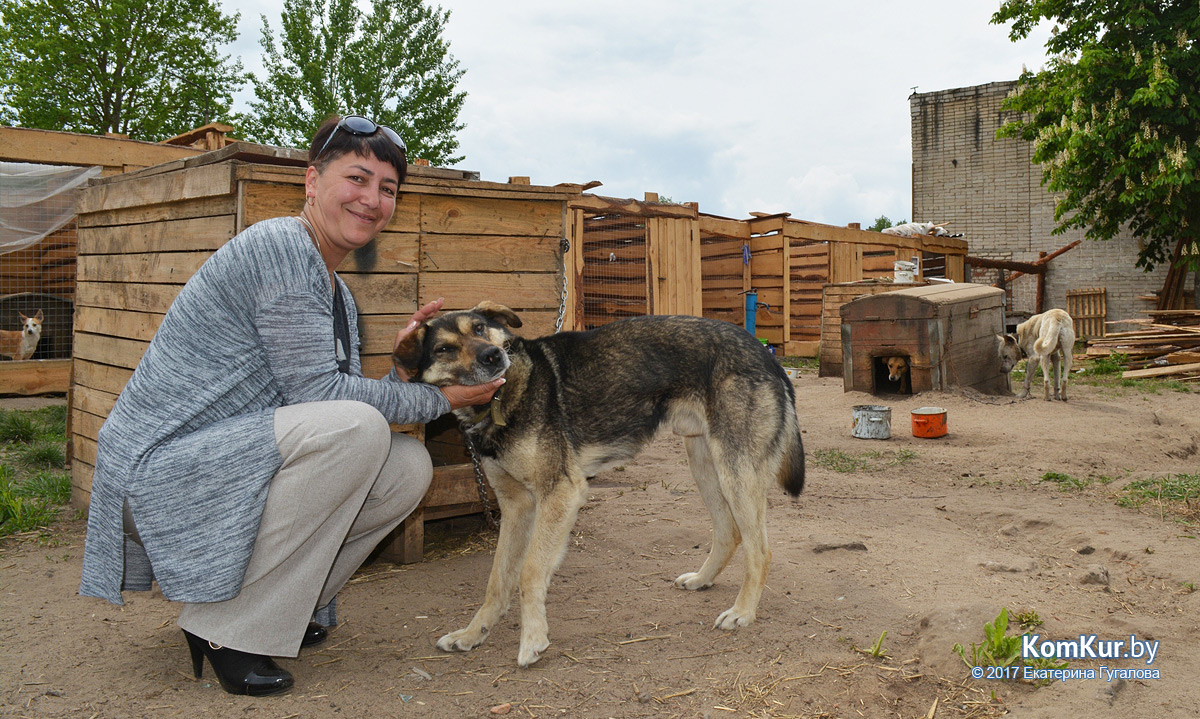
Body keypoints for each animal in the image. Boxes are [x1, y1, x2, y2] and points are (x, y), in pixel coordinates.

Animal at [396, 301, 806, 667]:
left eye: (480, 329)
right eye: (444, 349)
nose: (493, 356)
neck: (506, 395)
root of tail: (762, 351)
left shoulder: (560, 494)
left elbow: (530, 572)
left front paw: (533, 640)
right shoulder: (516, 507)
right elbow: (497, 581)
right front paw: (472, 634)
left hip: (735, 470)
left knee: (761, 550)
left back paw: (743, 612)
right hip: (705, 464)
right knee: (729, 532)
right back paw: (703, 579)